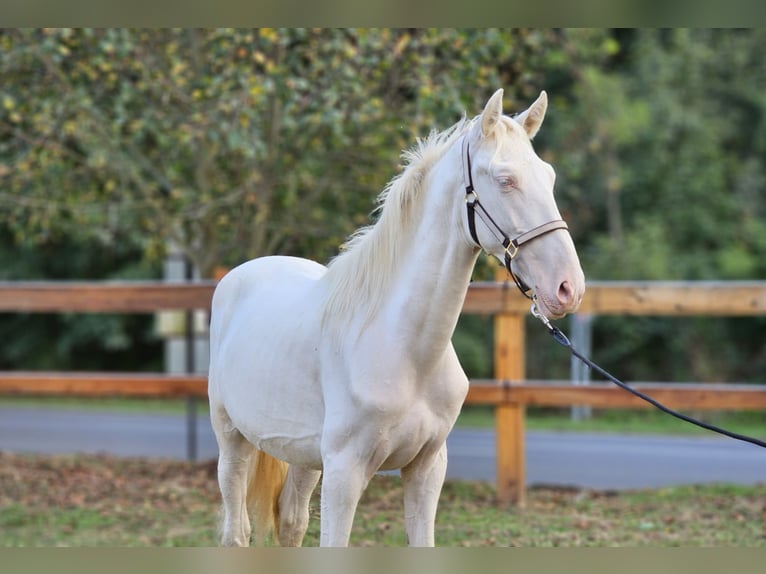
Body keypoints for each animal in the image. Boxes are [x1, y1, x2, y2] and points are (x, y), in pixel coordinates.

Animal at [207, 90, 584, 548]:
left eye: (549, 177)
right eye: (505, 180)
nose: (568, 287)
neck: (403, 347)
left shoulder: (426, 468)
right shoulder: (345, 472)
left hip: (303, 457)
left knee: (292, 523)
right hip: (233, 442)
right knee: (236, 531)